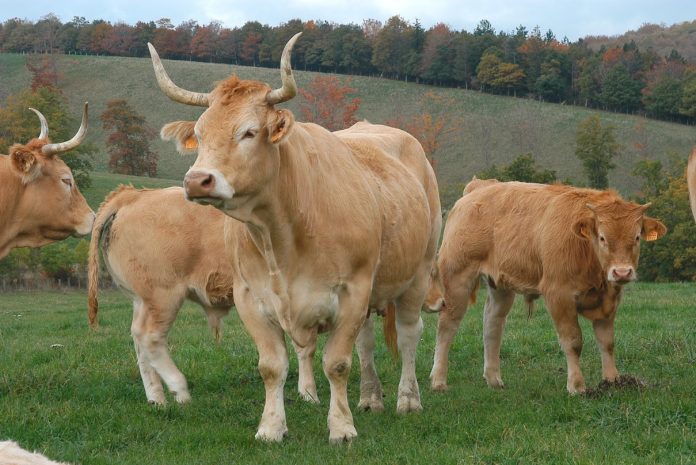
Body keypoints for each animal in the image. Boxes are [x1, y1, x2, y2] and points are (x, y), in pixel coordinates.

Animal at [86, 185, 234, 402]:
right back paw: (180, 390)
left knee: (138, 339)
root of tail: (133, 194)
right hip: (163, 294)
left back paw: (157, 400)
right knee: (149, 336)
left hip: (142, 300)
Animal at [148, 33, 440, 442]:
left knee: (410, 333)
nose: (197, 181)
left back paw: (408, 399)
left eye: (249, 131)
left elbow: (337, 363)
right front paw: (272, 426)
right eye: (201, 135)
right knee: (366, 342)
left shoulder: (352, 290)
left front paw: (341, 427)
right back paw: (370, 397)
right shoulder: (250, 296)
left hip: (418, 273)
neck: (281, 235)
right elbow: (272, 366)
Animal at [424, 179, 668, 394]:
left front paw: (612, 381)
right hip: (457, 278)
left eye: (637, 238)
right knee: (447, 326)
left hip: (500, 286)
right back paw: (438, 380)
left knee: (492, 324)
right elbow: (573, 341)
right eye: (602, 238)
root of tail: (478, 188)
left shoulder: (609, 299)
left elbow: (607, 342)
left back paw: (494, 379)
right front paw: (577, 386)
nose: (622, 272)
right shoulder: (559, 295)